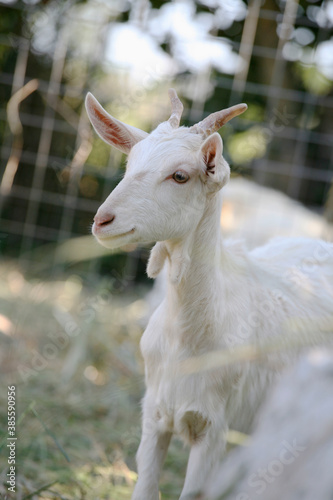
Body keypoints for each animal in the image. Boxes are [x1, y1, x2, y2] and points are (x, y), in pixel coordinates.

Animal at [85, 90, 332, 500]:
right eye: (130, 162)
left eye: (180, 175)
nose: (103, 220)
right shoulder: (154, 414)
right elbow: (145, 486)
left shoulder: (213, 426)